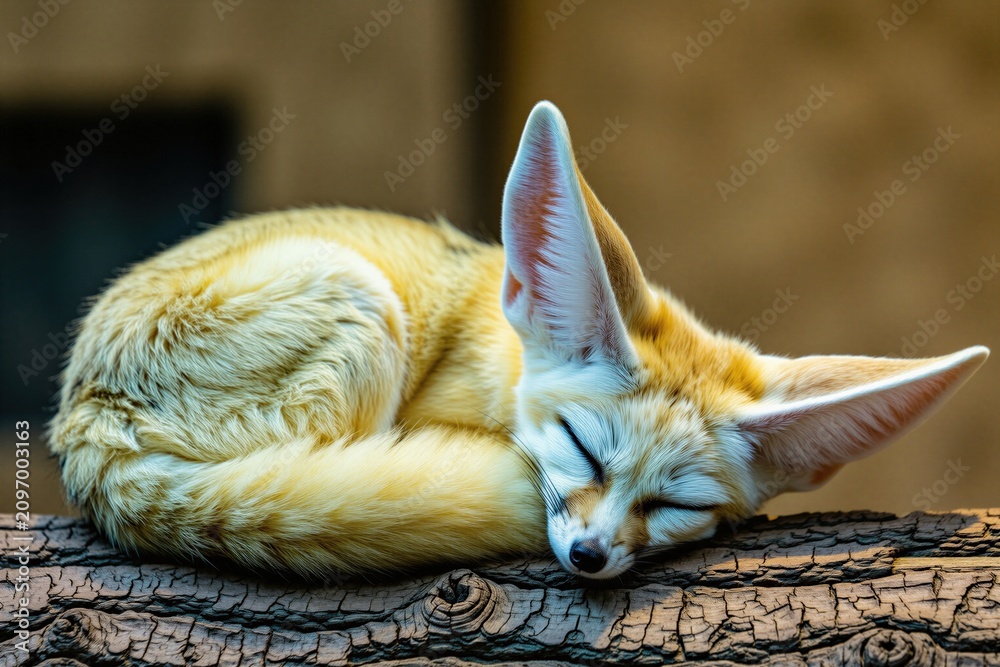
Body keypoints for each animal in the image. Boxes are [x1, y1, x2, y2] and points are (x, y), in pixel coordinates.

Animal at [49, 101, 988, 580]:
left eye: (678, 504)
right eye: (582, 446)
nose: (589, 554)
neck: (496, 355)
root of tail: (84, 423)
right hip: (359, 298)